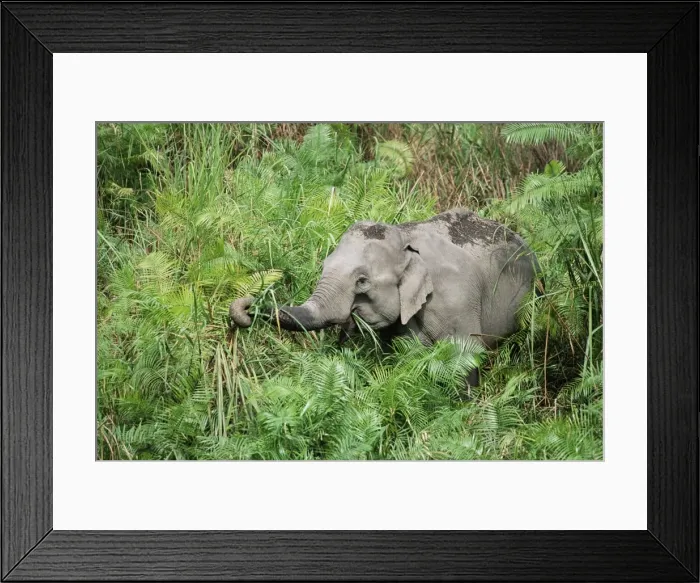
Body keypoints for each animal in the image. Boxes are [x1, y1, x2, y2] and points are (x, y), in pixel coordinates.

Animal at [229, 208, 541, 387]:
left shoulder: (458, 301)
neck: (404, 235)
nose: (246, 306)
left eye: (362, 281)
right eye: (324, 266)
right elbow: (409, 355)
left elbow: (465, 357)